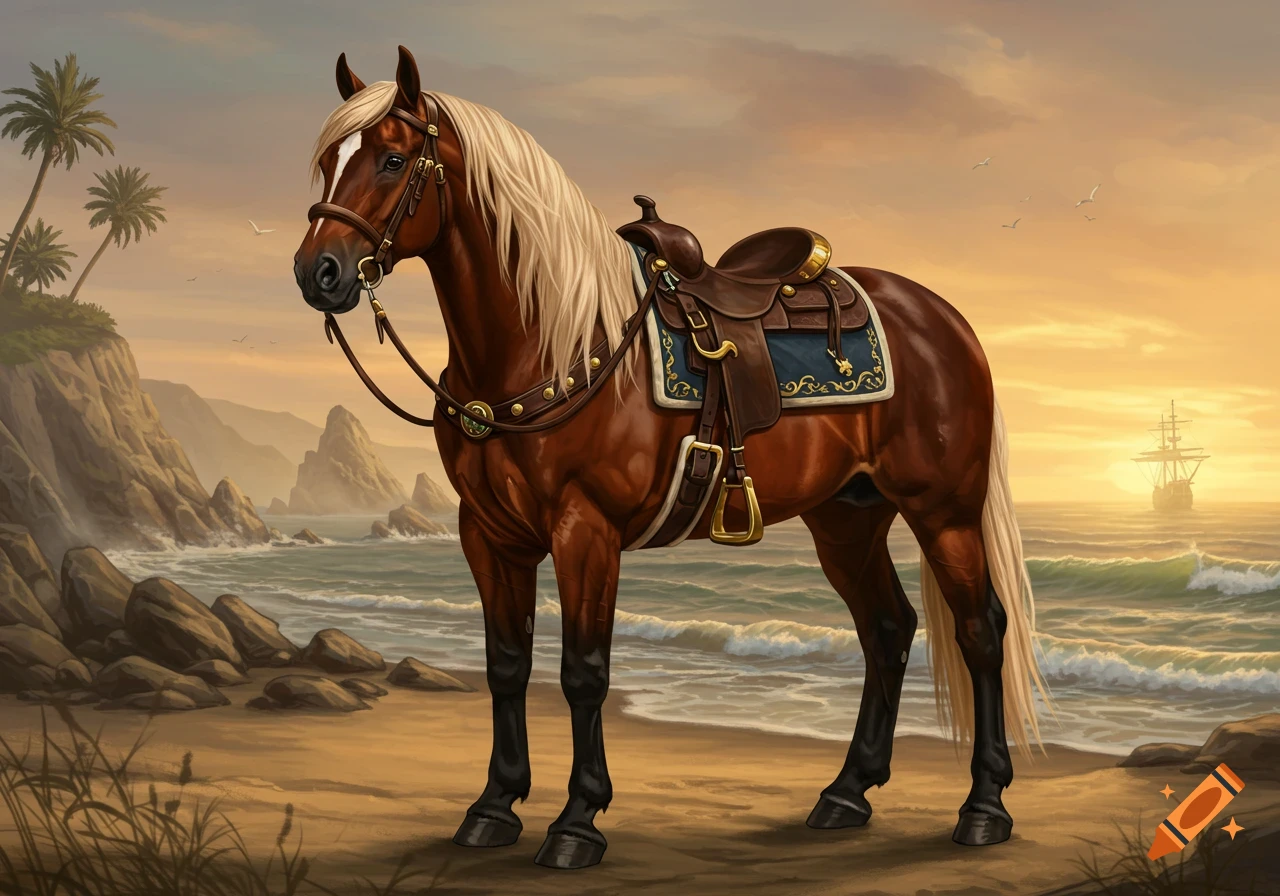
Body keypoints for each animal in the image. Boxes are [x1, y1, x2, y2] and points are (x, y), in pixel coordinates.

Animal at [293, 45, 1050, 871]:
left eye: (393, 159)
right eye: (327, 160)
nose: (318, 272)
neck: (552, 340)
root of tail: (942, 318)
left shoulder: (585, 531)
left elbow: (583, 671)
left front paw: (577, 823)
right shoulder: (489, 535)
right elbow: (506, 665)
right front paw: (493, 806)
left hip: (943, 512)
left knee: (980, 631)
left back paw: (984, 806)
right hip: (846, 518)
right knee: (886, 627)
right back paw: (846, 794)